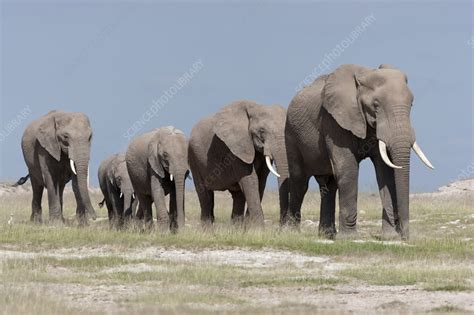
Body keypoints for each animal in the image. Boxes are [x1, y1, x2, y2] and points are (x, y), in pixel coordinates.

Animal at [189, 100, 288, 228]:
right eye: (261, 131)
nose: (282, 227)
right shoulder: (234, 149)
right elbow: (250, 180)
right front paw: (257, 229)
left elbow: (260, 182)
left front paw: (251, 229)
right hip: (193, 158)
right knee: (205, 195)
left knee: (238, 196)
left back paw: (235, 229)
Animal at [286, 65, 434, 241]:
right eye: (376, 105)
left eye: (411, 104)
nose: (404, 236)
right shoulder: (334, 122)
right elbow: (348, 169)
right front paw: (349, 238)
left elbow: (385, 173)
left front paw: (389, 237)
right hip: (291, 134)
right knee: (300, 181)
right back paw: (292, 233)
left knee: (328, 185)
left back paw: (327, 235)